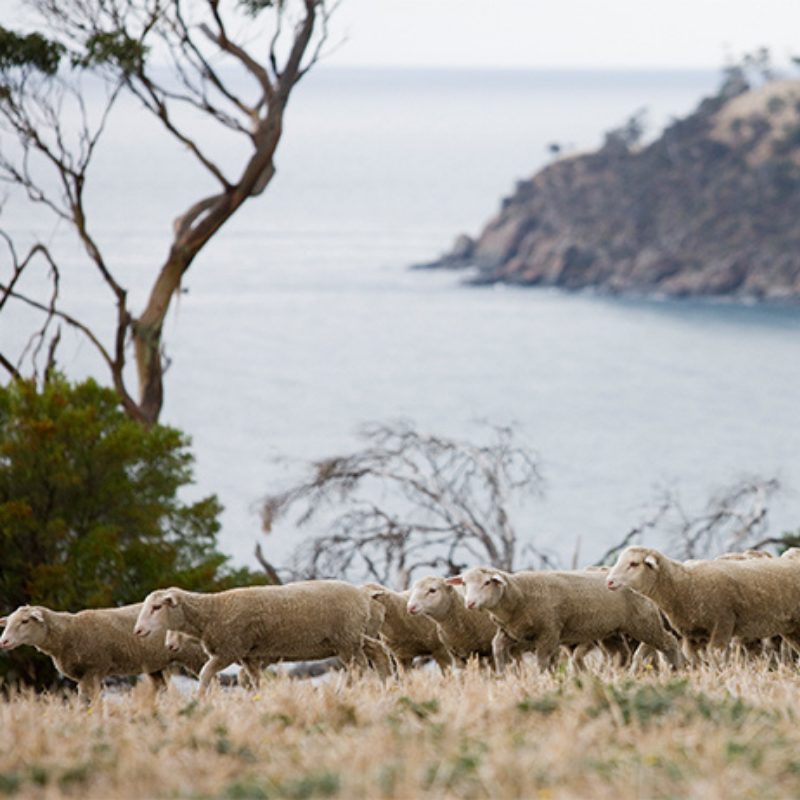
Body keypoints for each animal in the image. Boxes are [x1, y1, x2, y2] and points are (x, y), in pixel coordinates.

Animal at [0, 600, 205, 700]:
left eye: (25, 621)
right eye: (8, 622)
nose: (4, 641)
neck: (69, 632)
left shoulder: (94, 668)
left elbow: (88, 698)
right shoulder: (87, 674)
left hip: (195, 653)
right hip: (155, 664)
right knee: (161, 689)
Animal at [134, 580, 388, 692]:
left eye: (156, 607)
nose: (138, 631)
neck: (213, 611)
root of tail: (363, 596)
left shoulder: (229, 650)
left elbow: (205, 673)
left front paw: (201, 699)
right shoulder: (248, 655)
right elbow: (253, 680)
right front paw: (259, 698)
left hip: (347, 640)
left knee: (358, 666)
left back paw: (350, 690)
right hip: (353, 638)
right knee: (375, 654)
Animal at [450, 564, 680, 676]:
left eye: (487, 582)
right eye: (465, 583)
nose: (469, 603)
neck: (519, 595)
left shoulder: (549, 632)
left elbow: (543, 659)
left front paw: (541, 679)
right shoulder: (512, 632)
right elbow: (497, 647)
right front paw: (501, 674)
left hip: (644, 621)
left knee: (669, 642)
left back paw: (677, 669)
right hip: (610, 631)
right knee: (620, 655)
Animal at [608, 544, 800, 668]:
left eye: (634, 564)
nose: (609, 581)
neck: (686, 585)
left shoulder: (722, 624)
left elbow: (716, 655)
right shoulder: (691, 635)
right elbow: (693, 658)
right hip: (790, 628)